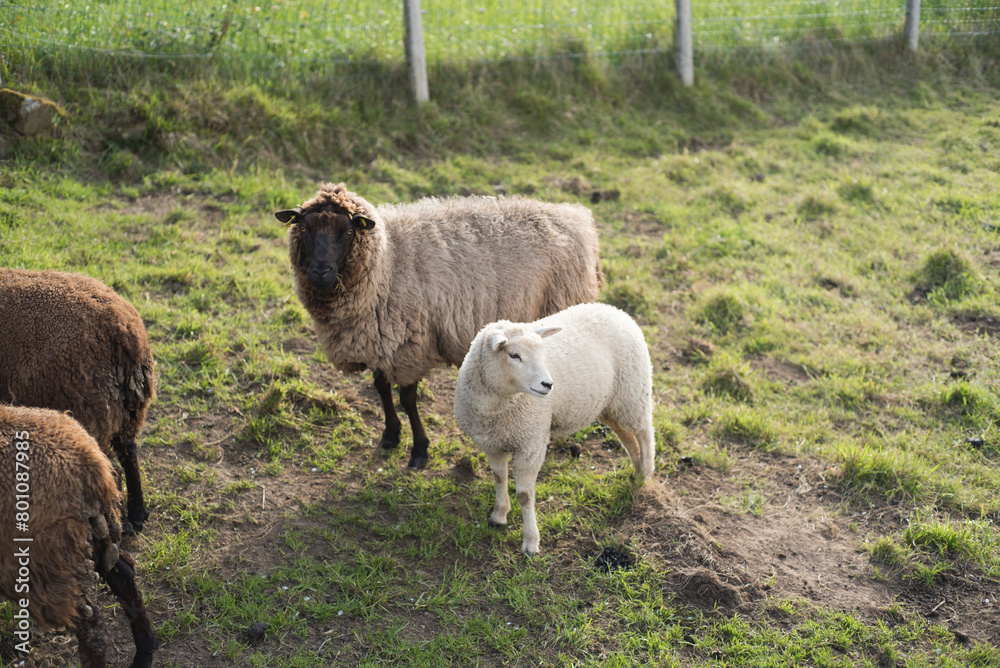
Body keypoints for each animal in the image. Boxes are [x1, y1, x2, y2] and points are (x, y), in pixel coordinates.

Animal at [0, 269, 156, 534]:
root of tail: (123, 331)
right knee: (129, 452)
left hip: (87, 410)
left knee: (111, 468)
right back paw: (136, 516)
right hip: (128, 410)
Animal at [0, 404, 158, 668]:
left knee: (91, 626)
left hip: (40, 565)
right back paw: (144, 653)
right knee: (123, 575)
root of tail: (89, 466)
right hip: (95, 537)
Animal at [275, 182, 604, 470]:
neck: (387, 264)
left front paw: (419, 450)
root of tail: (576, 217)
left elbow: (407, 399)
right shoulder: (380, 342)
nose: (321, 271)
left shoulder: (408, 347)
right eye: (305, 228)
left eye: (346, 231)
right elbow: (381, 388)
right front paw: (390, 436)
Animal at [454, 302, 655, 555]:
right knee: (627, 437)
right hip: (610, 404)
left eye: (542, 353)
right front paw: (499, 515)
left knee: (645, 433)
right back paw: (637, 471)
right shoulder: (490, 443)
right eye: (514, 355)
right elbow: (499, 478)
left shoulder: (531, 444)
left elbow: (524, 495)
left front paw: (531, 542)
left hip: (633, 392)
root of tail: (614, 309)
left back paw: (646, 475)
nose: (548, 384)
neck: (498, 406)